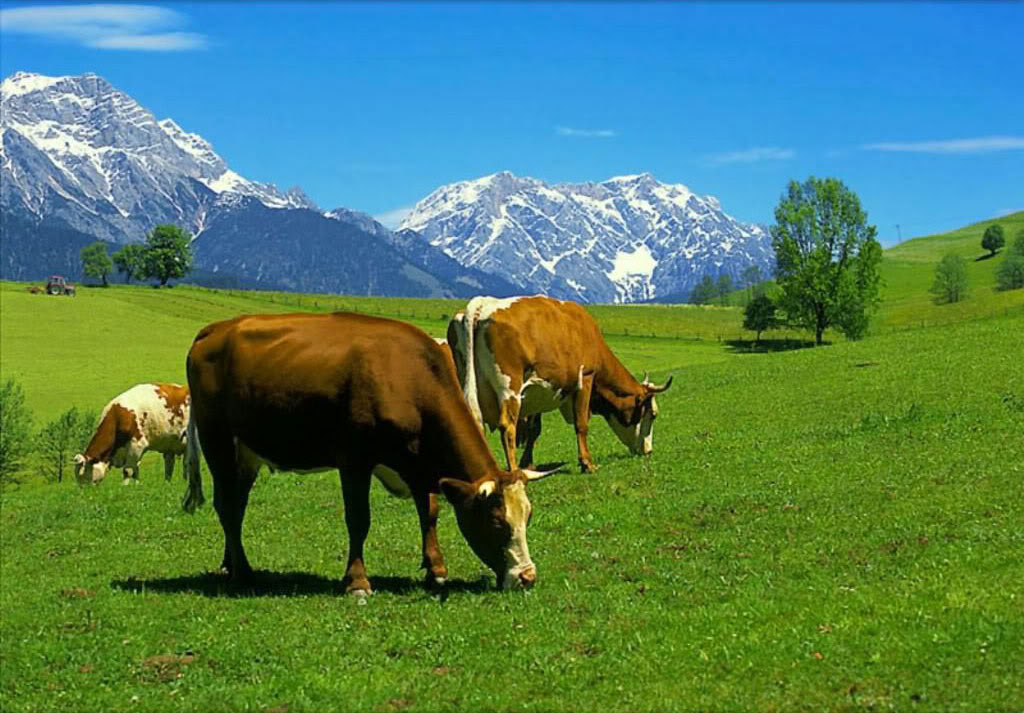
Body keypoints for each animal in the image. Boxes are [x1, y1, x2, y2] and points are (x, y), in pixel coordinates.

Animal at [182, 311, 562, 595]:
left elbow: (429, 512)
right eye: (497, 521)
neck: (408, 377)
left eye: (527, 517)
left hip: (247, 452)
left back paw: (231, 563)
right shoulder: (354, 460)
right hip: (218, 440)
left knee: (237, 505)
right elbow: (358, 519)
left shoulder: (417, 461)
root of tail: (215, 330)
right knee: (226, 506)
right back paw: (244, 573)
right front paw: (357, 582)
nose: (527, 577)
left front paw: (436, 569)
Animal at [448, 295, 673, 473]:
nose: (648, 451)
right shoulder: (585, 379)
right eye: (653, 414)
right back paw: (514, 471)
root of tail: (482, 304)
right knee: (507, 426)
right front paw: (587, 463)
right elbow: (581, 424)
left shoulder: (537, 392)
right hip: (509, 388)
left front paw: (529, 463)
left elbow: (534, 429)